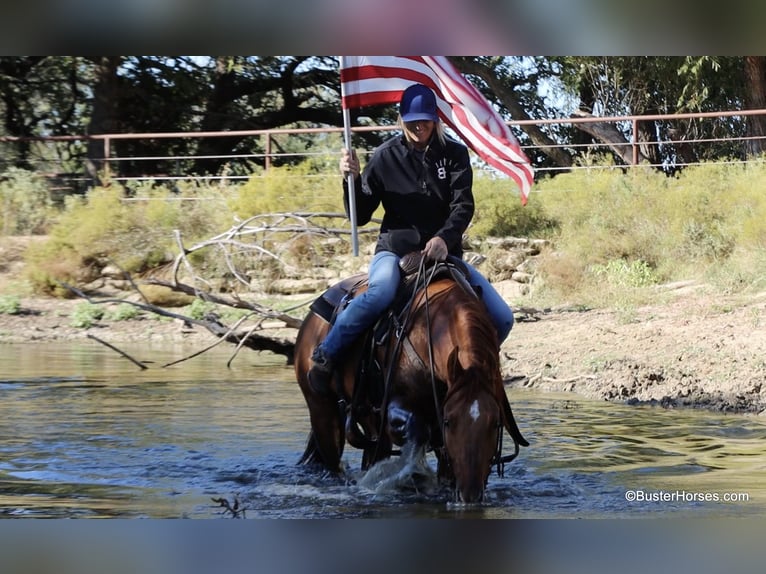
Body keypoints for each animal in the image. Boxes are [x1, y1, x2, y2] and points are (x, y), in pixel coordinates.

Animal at [294, 256, 528, 504]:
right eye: (449, 422)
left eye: (495, 424)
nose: (470, 494)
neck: (429, 330)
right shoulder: (396, 407)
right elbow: (418, 429)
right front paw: (413, 474)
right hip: (323, 414)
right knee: (334, 463)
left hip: (368, 419)